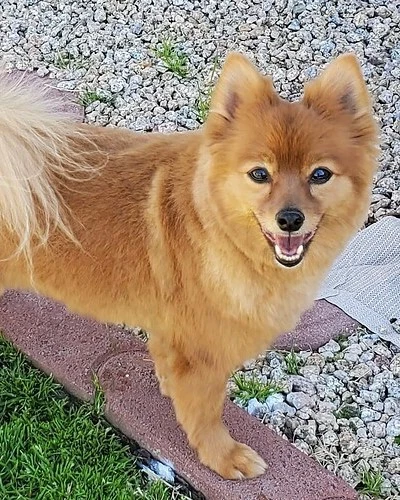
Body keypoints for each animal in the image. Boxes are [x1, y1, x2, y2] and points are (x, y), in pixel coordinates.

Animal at [0, 52, 378, 478]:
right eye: (259, 174)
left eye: (320, 174)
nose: (290, 218)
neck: (214, 227)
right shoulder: (203, 356)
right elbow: (206, 414)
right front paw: (224, 457)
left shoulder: (174, 334)